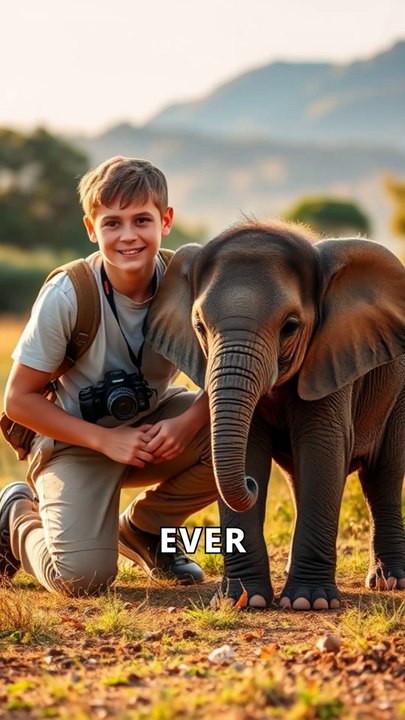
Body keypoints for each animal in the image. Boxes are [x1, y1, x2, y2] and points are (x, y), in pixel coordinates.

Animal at [145, 220, 405, 610]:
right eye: (200, 327)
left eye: (291, 327)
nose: (249, 485)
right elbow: (252, 448)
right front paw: (241, 601)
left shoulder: (330, 357)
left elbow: (323, 449)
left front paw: (309, 603)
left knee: (383, 477)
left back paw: (389, 582)